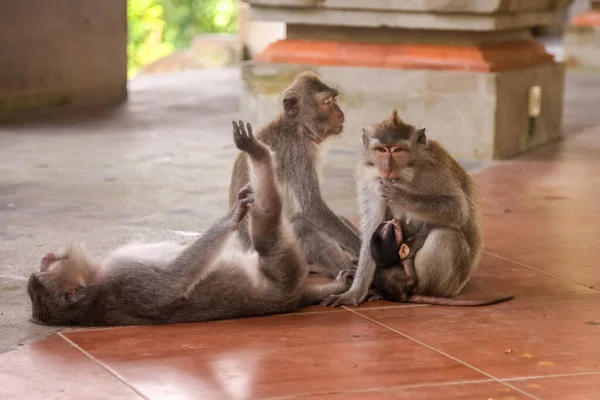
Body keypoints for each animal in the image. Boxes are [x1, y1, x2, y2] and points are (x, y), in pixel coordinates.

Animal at [27, 120, 346, 326]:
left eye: (45, 267)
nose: (48, 257)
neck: (95, 283)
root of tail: (289, 298)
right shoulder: (128, 279)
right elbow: (174, 279)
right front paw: (230, 218)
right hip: (284, 268)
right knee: (267, 237)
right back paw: (259, 155)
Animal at [230, 71, 360, 278]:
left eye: (334, 99)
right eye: (327, 102)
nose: (340, 113)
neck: (298, 126)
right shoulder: (296, 150)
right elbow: (313, 207)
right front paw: (361, 248)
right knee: (302, 227)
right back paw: (350, 271)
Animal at [324, 111, 510, 308]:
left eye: (397, 150)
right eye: (381, 150)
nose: (387, 168)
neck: (406, 172)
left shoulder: (436, 170)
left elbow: (457, 209)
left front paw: (400, 194)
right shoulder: (369, 176)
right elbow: (373, 224)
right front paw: (355, 292)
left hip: (451, 284)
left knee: (445, 235)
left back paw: (415, 291)